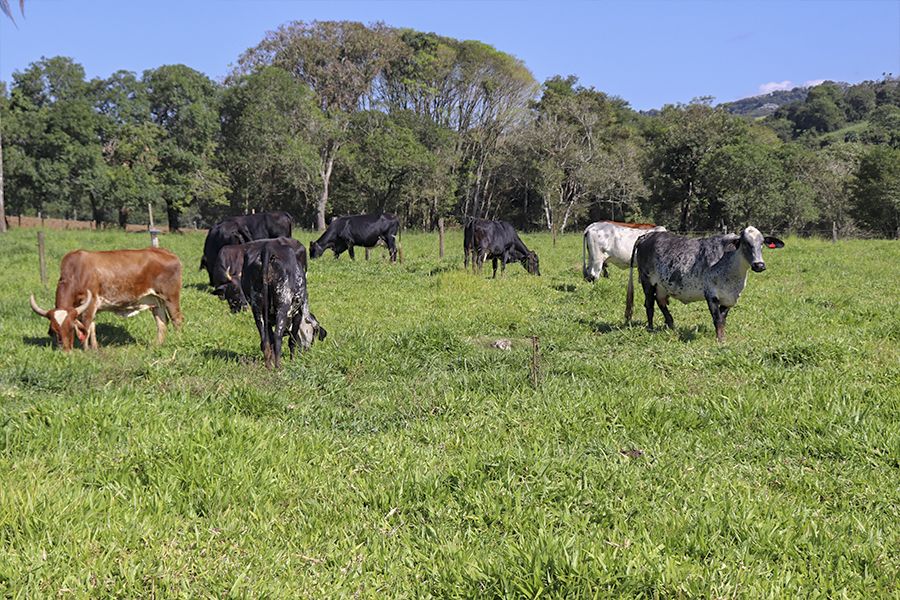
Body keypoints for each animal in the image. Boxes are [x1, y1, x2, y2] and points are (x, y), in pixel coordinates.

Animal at [29, 248, 183, 352]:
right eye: (55, 330)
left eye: (71, 328)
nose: (65, 350)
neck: (76, 272)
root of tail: (167, 253)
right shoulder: (90, 307)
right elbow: (92, 327)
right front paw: (94, 347)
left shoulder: (90, 303)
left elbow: (86, 326)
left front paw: (85, 350)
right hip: (156, 301)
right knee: (162, 323)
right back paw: (158, 345)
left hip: (171, 298)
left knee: (177, 320)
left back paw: (177, 342)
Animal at [241, 237, 326, 368]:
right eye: (314, 333)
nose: (308, 350)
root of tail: (268, 249)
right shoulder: (297, 314)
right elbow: (292, 341)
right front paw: (292, 361)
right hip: (283, 304)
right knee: (277, 336)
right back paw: (278, 367)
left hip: (257, 308)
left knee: (265, 340)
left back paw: (269, 366)